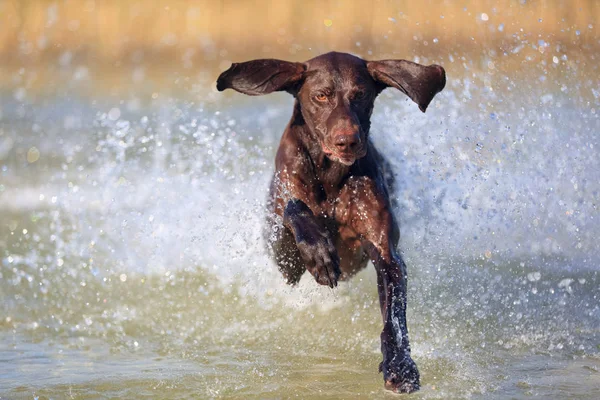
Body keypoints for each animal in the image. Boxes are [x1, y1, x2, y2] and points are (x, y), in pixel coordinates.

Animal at [217, 52, 446, 394]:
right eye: (321, 96)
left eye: (360, 94)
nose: (347, 142)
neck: (330, 174)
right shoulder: (284, 247)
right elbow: (295, 208)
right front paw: (320, 254)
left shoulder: (387, 253)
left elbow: (394, 318)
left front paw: (400, 366)